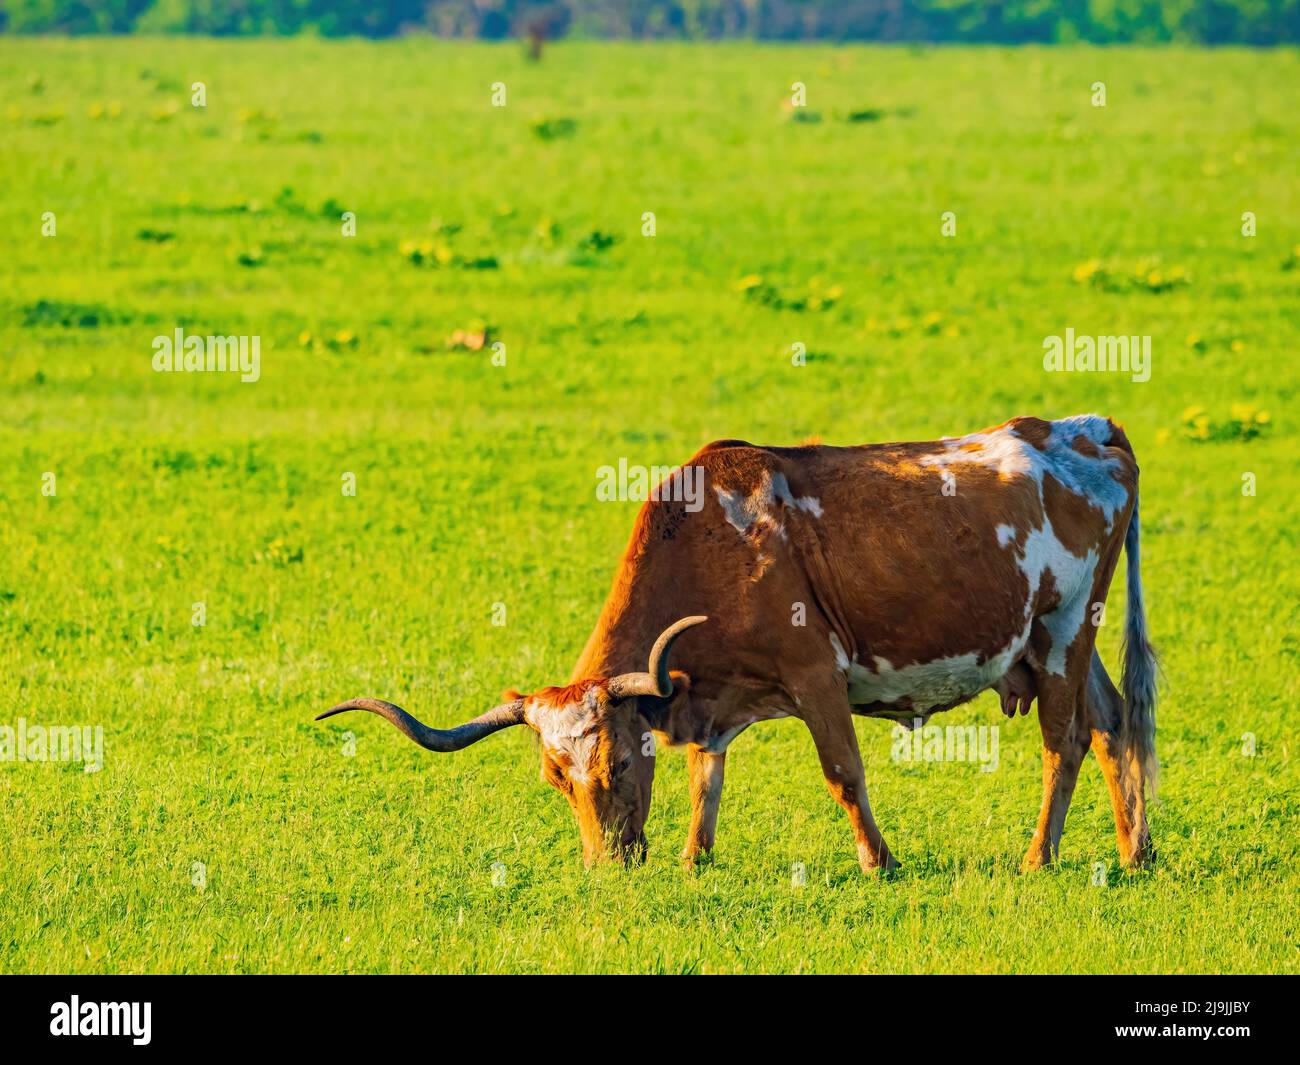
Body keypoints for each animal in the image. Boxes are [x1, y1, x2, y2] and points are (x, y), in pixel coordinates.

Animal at [320, 414, 1157, 874]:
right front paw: (696, 855)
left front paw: (879, 860)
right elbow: (705, 777)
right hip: (1065, 642)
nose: (607, 866)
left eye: (617, 761)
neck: (711, 539)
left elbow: (843, 772)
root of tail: (1086, 429)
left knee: (1065, 742)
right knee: (1115, 725)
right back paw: (1135, 850)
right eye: (556, 777)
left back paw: (1038, 856)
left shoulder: (816, 673)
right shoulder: (704, 698)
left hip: (1062, 633)